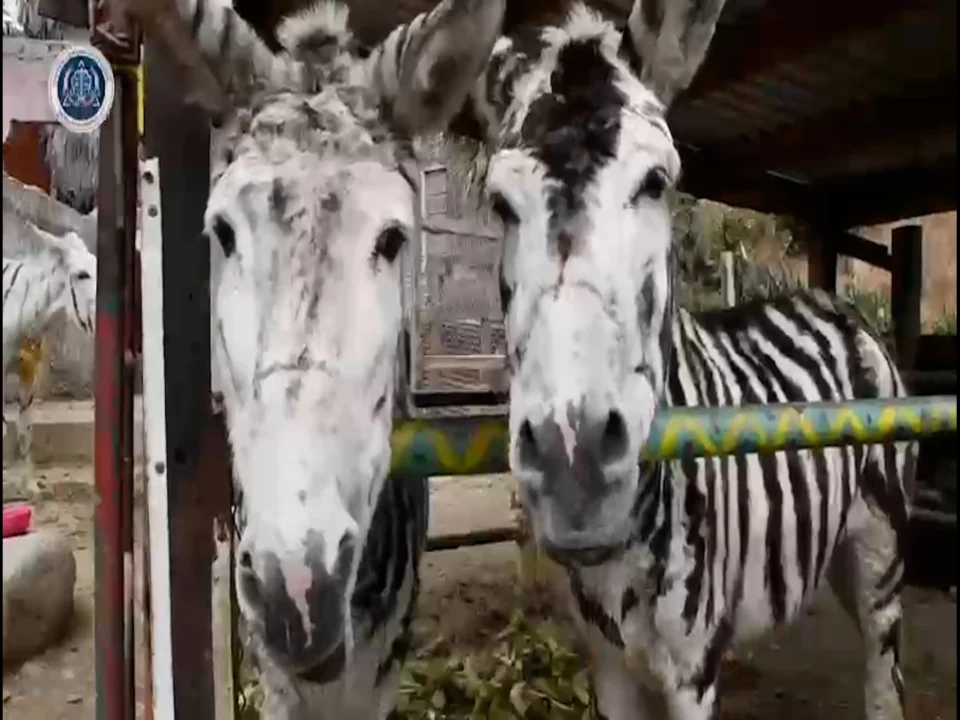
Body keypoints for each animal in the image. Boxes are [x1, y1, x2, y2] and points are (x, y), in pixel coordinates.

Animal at [451, 2, 915, 718]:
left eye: (656, 183)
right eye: (501, 204)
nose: (573, 467)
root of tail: (838, 303)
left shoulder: (694, 670)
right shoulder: (606, 661)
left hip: (881, 552)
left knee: (883, 678)